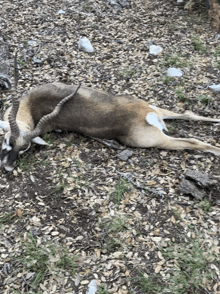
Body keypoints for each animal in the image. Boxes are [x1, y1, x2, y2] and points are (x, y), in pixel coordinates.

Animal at [0, 72, 220, 172]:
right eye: (8, 142)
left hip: (158, 140)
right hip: (159, 110)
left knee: (193, 142)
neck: (31, 105)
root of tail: (146, 115)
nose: (7, 167)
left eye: (25, 148)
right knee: (189, 114)